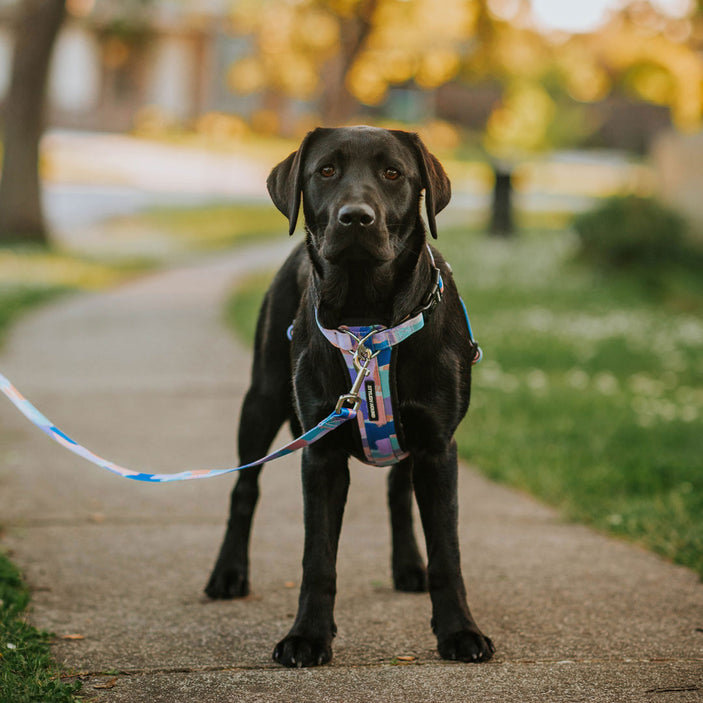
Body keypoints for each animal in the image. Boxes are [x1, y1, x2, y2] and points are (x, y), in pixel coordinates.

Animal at [206, 124, 496, 668]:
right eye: (325, 170)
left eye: (393, 173)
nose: (356, 217)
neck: (368, 317)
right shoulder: (320, 456)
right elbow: (317, 558)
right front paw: (307, 636)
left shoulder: (437, 447)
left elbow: (447, 554)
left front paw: (460, 631)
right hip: (261, 399)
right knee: (244, 490)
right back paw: (228, 574)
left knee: (398, 492)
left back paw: (409, 567)